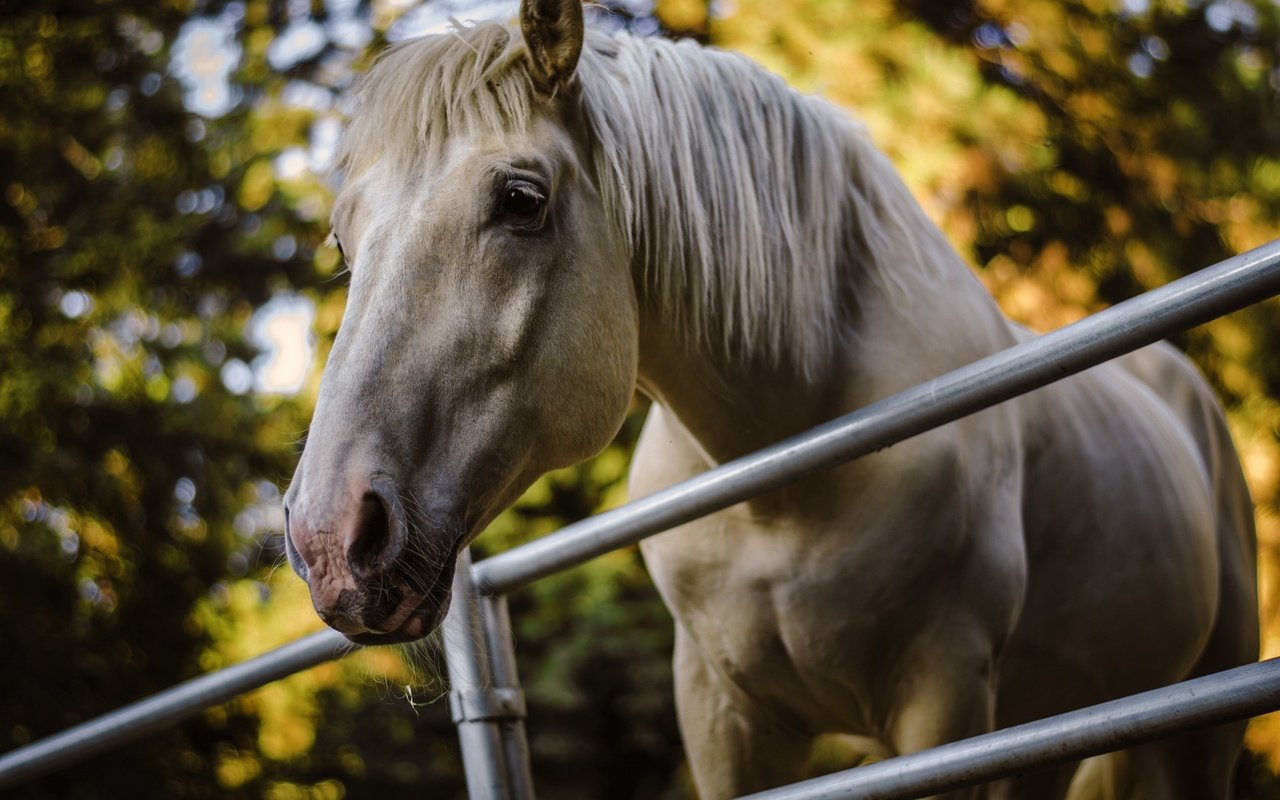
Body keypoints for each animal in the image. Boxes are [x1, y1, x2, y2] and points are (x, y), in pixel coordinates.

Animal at [282, 3, 1259, 793]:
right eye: (343, 239)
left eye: (520, 198)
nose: (331, 540)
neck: (785, 475)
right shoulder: (722, 714)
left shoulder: (945, 699)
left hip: (1187, 732)